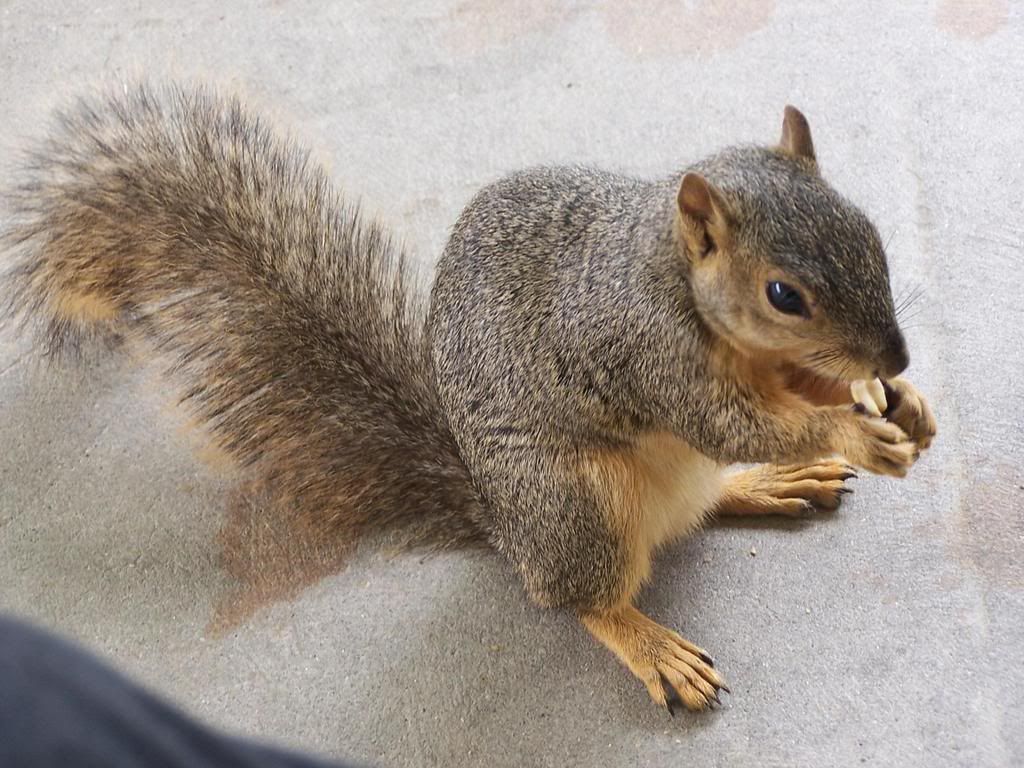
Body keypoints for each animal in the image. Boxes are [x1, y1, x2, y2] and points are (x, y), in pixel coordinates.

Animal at [1, 84, 936, 713]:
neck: (674, 272)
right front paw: (853, 431)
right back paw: (649, 643)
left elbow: (789, 397)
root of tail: (504, 525)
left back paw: (767, 485)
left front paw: (894, 397)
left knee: (700, 506)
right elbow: (730, 421)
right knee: (578, 598)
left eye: (869, 233)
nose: (894, 351)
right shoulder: (645, 352)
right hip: (574, 503)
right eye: (783, 295)